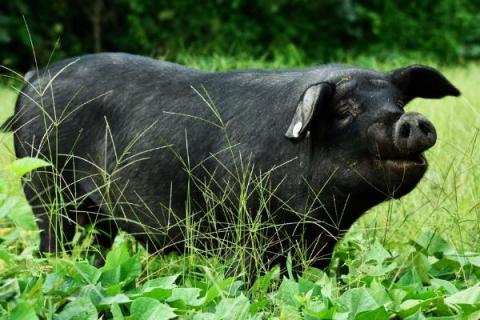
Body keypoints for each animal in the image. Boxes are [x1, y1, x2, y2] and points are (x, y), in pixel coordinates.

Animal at [3, 53, 462, 268]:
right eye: (347, 109)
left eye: (398, 102)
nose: (413, 120)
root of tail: (35, 78)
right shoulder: (240, 228)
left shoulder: (318, 242)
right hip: (43, 184)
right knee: (52, 239)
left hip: (95, 211)